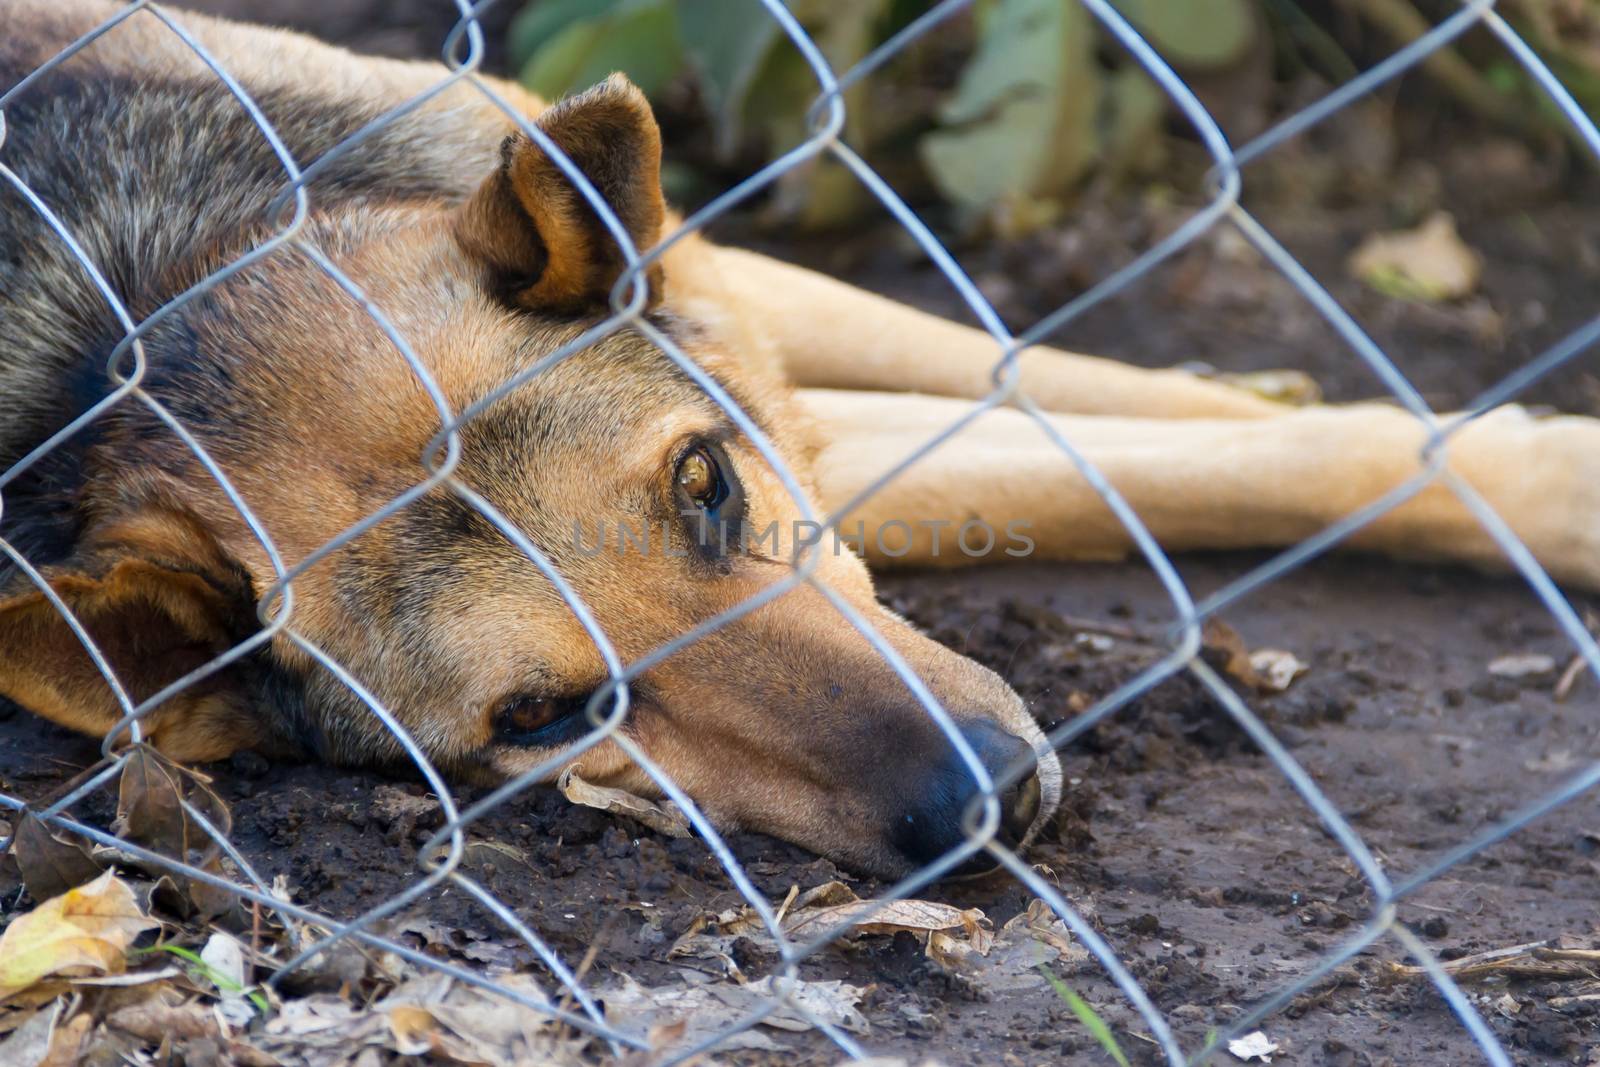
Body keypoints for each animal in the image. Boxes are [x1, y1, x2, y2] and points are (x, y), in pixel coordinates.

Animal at [0, 4, 1593, 883]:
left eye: (704, 487)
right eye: (548, 716)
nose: (987, 798)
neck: (156, 294)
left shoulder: (735, 310)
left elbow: (1102, 402)